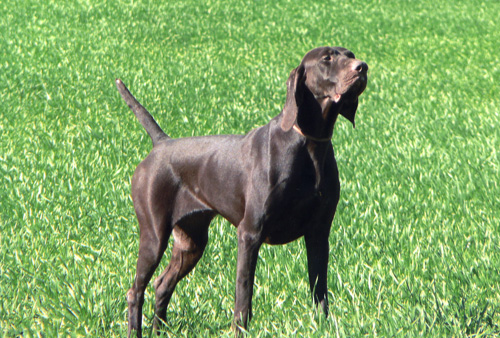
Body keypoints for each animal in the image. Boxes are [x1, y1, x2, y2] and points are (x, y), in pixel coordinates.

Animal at [116, 46, 368, 336]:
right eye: (327, 58)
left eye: (350, 54)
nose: (362, 67)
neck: (310, 145)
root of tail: (161, 143)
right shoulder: (250, 234)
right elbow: (243, 297)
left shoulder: (318, 233)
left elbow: (320, 291)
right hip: (154, 236)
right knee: (136, 291)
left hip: (191, 244)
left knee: (162, 285)